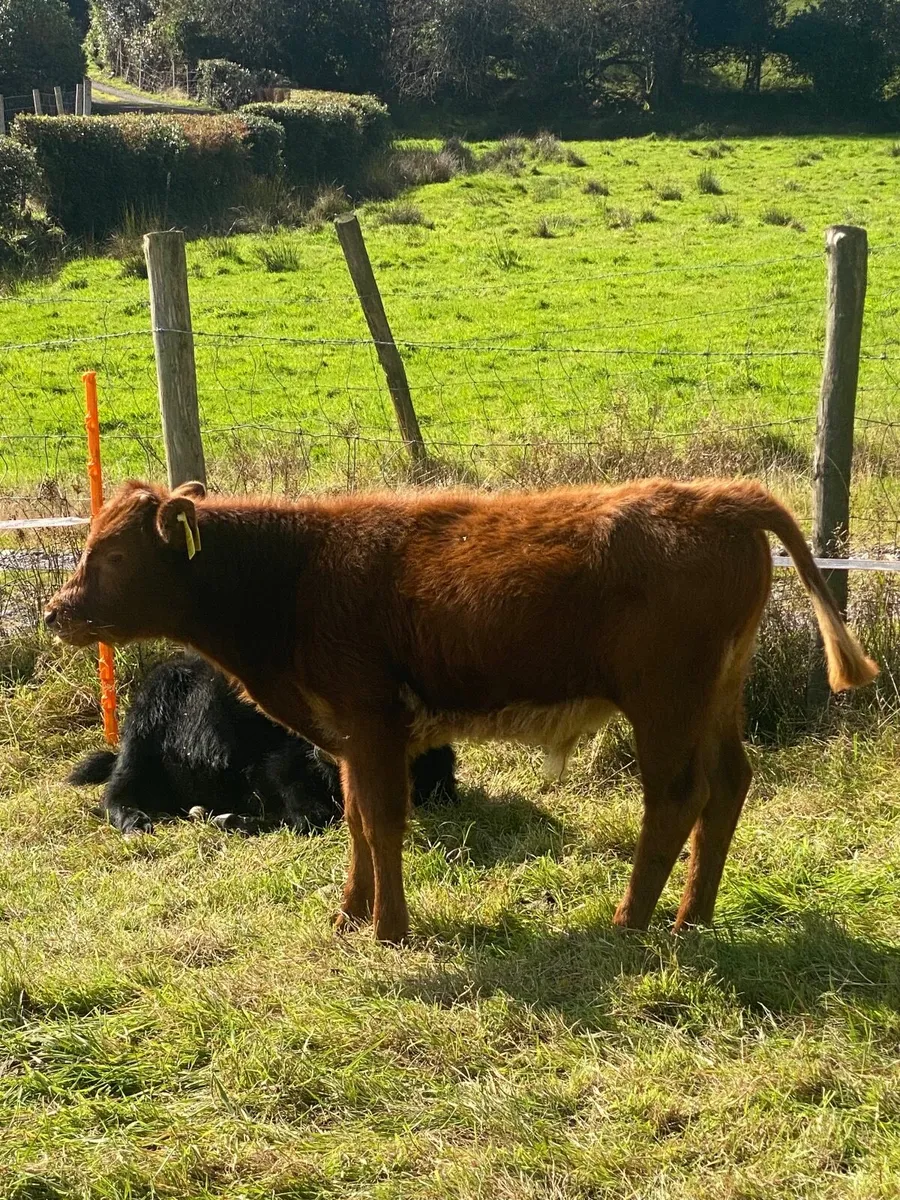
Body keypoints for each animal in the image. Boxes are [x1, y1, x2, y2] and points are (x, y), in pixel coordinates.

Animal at [67, 654, 458, 835]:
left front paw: (228, 819)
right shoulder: (279, 768)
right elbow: (308, 815)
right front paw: (231, 820)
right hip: (140, 737)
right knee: (116, 793)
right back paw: (136, 822)